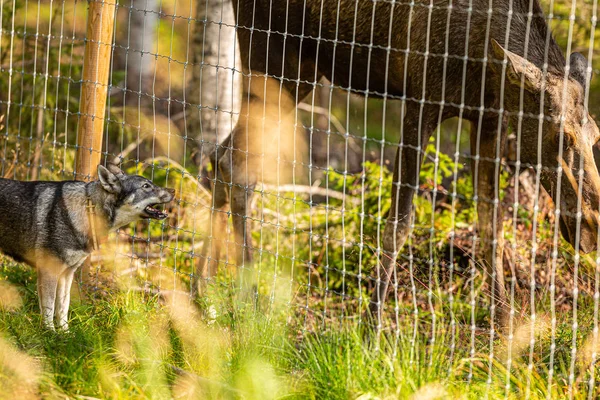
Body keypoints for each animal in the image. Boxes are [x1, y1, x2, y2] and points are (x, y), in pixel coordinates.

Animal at [0, 164, 173, 330]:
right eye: (146, 186)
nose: (174, 190)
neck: (88, 212)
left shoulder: (66, 274)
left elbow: (62, 308)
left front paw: (64, 333)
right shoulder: (49, 272)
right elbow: (49, 309)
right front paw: (49, 332)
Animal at [196, 0, 600, 326]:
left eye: (595, 134)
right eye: (561, 136)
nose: (591, 228)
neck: (487, 69)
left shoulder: (489, 123)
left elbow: (492, 227)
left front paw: (504, 331)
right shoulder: (421, 104)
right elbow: (399, 225)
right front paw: (370, 330)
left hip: (302, 73)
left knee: (219, 159)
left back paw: (202, 292)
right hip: (274, 64)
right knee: (236, 167)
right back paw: (249, 300)